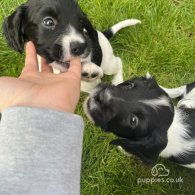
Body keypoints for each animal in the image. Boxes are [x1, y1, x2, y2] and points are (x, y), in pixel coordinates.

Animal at [1, 0, 140, 92]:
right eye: (48, 22)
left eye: (81, 22)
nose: (82, 47)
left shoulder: (93, 84)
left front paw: (88, 68)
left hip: (108, 63)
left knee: (118, 62)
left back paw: (117, 80)